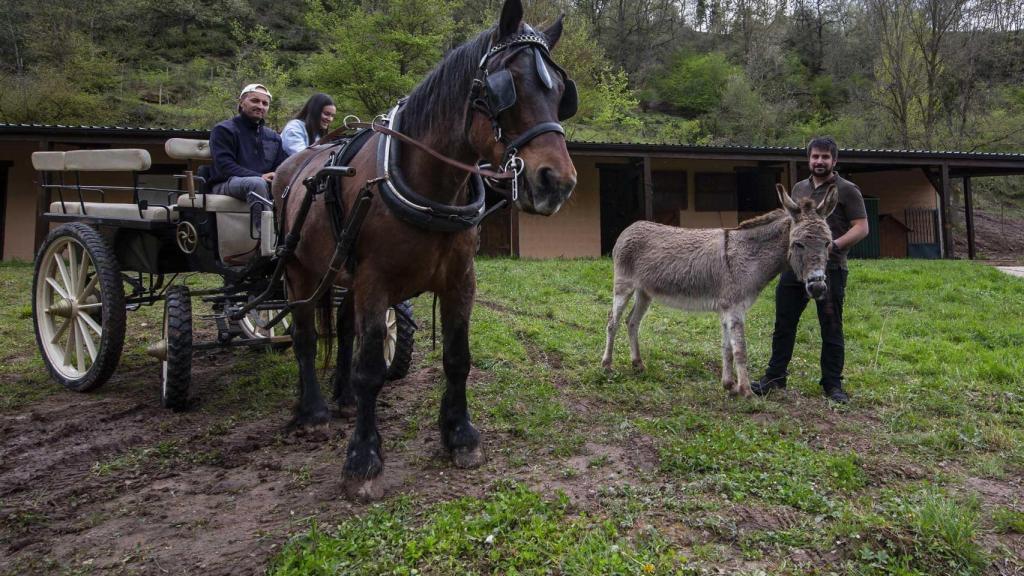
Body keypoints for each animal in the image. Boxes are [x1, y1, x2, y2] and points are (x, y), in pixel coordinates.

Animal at [273, 0, 577, 497]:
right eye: (505, 86)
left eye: (561, 95)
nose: (558, 183)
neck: (428, 184)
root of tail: (291, 166)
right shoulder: (374, 281)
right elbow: (371, 368)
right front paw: (363, 459)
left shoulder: (460, 280)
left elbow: (457, 357)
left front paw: (460, 435)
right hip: (299, 270)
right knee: (304, 335)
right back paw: (313, 411)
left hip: (342, 272)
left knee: (342, 331)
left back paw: (342, 398)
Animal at [601, 184, 837, 398]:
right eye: (798, 244)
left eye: (828, 243)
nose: (818, 287)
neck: (749, 256)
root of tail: (631, 227)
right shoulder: (735, 308)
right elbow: (740, 349)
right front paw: (747, 392)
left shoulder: (727, 309)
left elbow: (727, 348)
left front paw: (729, 385)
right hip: (624, 286)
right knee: (613, 321)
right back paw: (607, 365)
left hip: (645, 292)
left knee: (632, 321)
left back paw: (638, 364)